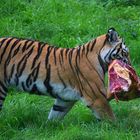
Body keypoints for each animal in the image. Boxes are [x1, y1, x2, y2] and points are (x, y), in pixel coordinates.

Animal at [0, 27, 130, 121]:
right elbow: (110, 118)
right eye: (125, 52)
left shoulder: (65, 99)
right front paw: (117, 131)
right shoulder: (97, 97)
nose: (130, 65)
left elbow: (55, 115)